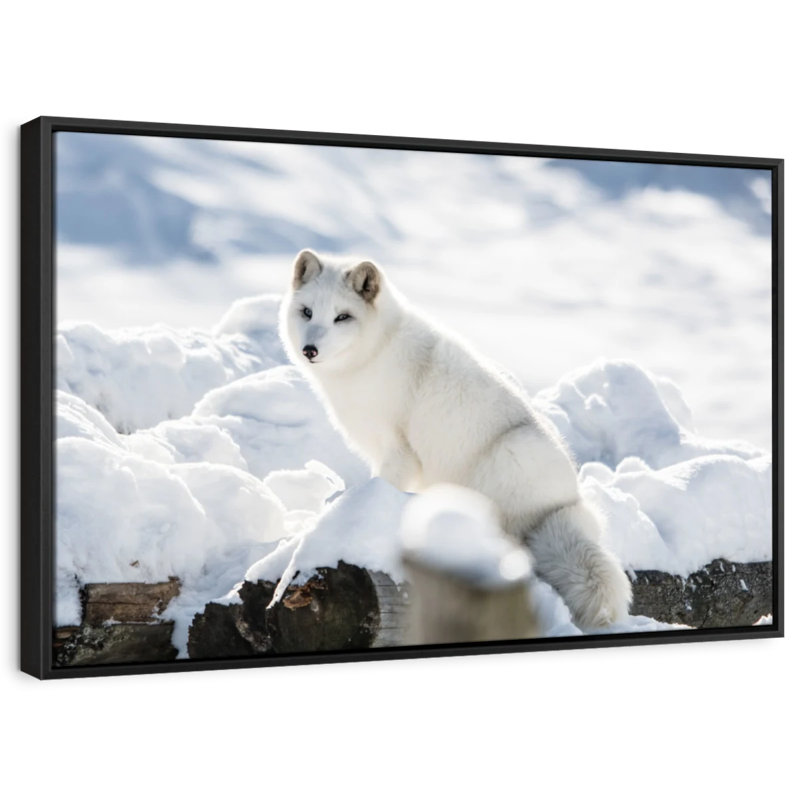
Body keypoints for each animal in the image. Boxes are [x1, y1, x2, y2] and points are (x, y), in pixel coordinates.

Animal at [279, 249, 632, 629]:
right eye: (307, 312)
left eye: (342, 317)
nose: (310, 349)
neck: (374, 353)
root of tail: (568, 504)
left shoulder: (399, 451)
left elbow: (379, 486)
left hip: (507, 457)